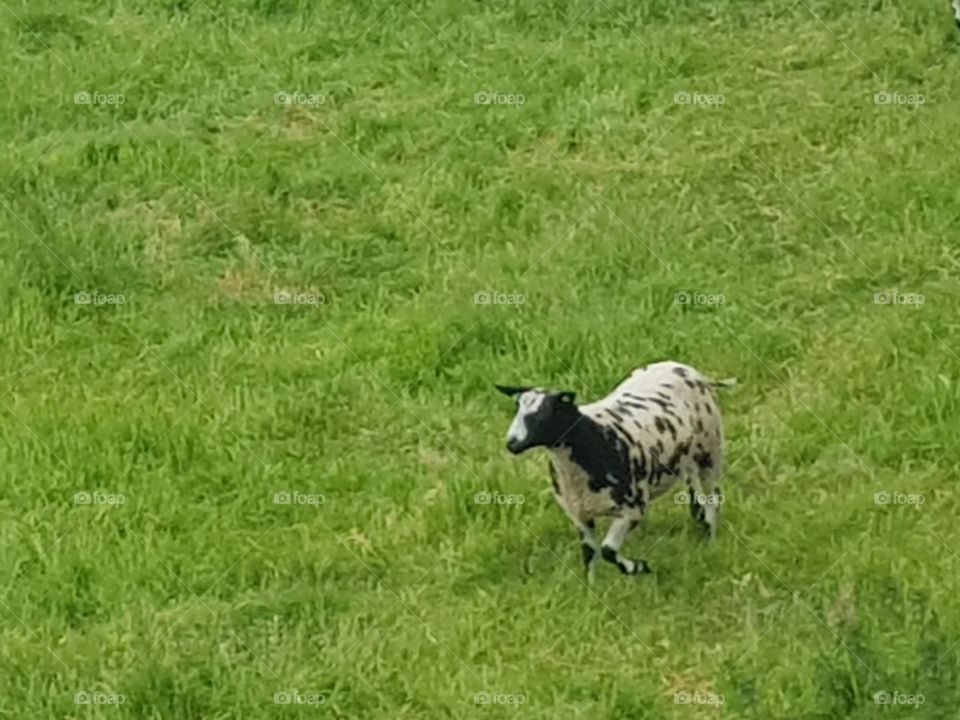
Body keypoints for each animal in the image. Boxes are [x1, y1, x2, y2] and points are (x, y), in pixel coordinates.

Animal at [496, 361, 735, 583]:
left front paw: (639, 568)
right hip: (689, 458)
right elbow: (589, 554)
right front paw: (591, 589)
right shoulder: (579, 515)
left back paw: (710, 541)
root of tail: (687, 369)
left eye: (544, 414)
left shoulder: (633, 510)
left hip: (711, 452)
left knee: (714, 498)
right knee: (694, 488)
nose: (512, 443)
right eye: (517, 410)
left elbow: (608, 551)